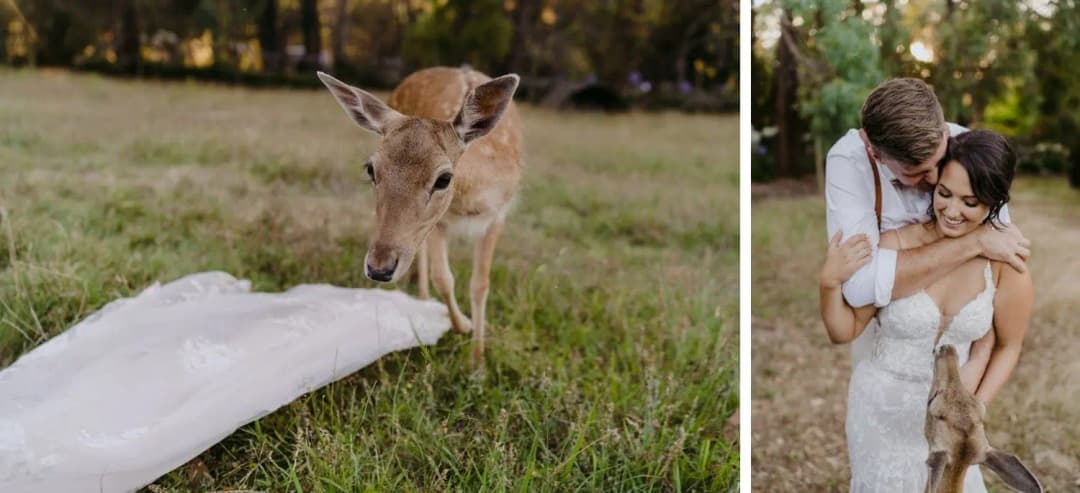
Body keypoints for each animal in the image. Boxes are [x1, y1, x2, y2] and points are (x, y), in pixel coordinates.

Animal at [316, 66, 522, 366]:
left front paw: (477, 360)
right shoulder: (438, 221)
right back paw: (423, 299)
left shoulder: (498, 213)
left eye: (444, 178)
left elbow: (480, 285)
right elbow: (443, 278)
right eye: (370, 169)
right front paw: (463, 325)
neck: (468, 200)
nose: (378, 268)